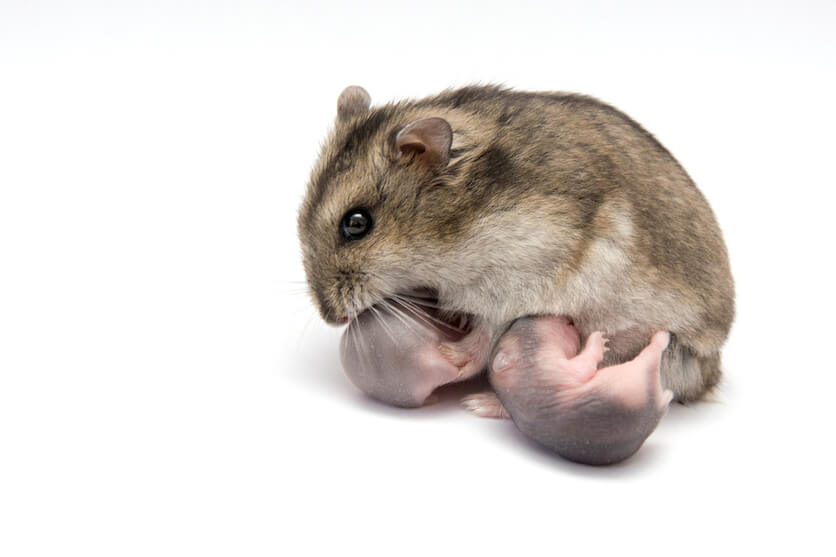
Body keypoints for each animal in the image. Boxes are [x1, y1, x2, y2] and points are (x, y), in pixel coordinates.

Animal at [298, 83, 732, 464]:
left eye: (357, 223)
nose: (330, 316)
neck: (455, 225)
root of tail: (711, 375)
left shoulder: (514, 284)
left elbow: (482, 342)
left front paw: (449, 356)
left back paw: (482, 403)